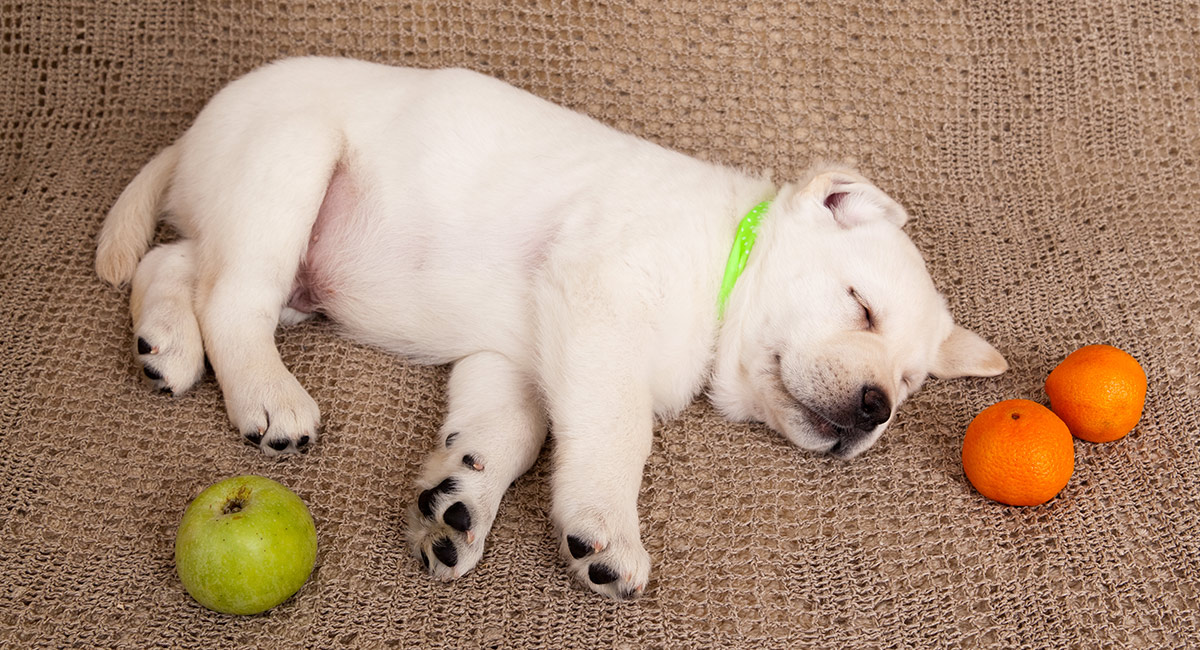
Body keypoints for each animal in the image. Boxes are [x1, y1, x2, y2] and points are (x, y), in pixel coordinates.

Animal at [98, 56, 1008, 602]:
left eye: (910, 385)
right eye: (861, 307)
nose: (876, 408)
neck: (723, 269)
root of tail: (197, 126)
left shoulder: (519, 357)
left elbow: (506, 433)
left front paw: (457, 499)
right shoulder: (599, 305)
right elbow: (617, 434)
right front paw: (603, 528)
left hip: (261, 239)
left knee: (175, 263)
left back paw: (164, 346)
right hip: (288, 163)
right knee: (230, 298)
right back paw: (266, 394)